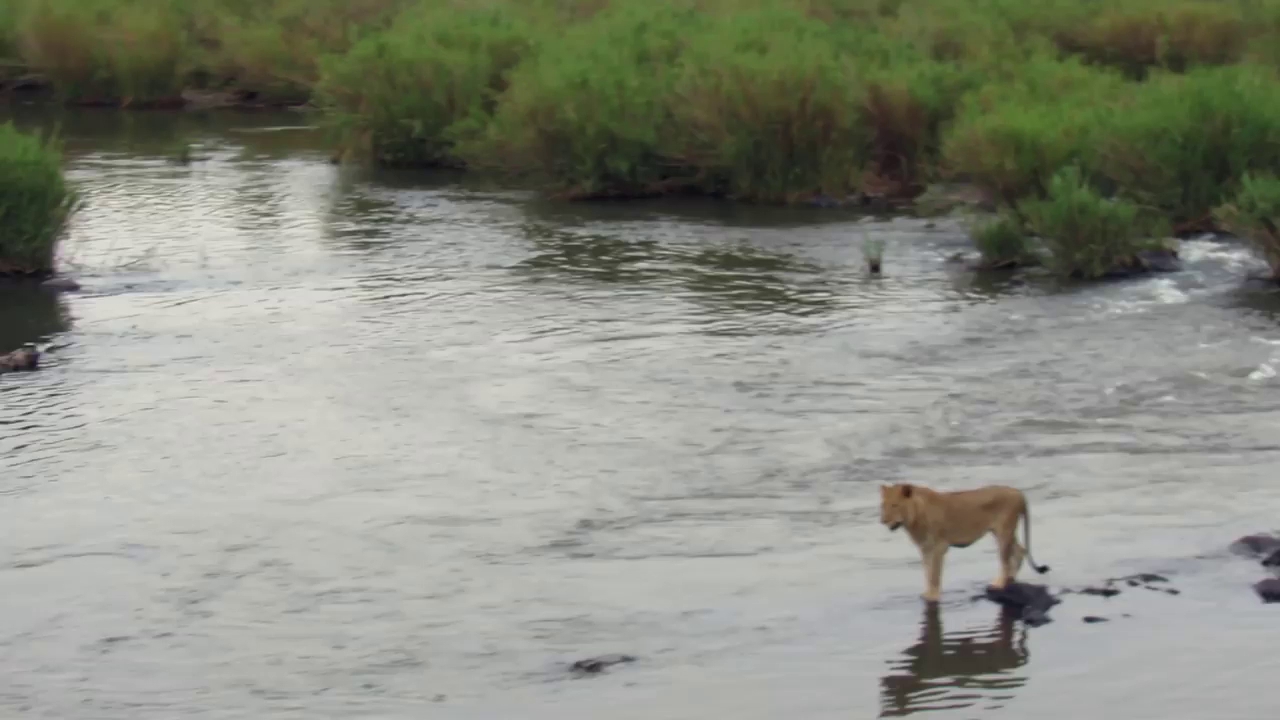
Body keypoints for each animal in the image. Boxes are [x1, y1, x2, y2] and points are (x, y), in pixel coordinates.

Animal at [880, 481, 1049, 599]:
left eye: (895, 505)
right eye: (883, 505)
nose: (883, 520)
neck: (913, 519)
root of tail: (1018, 492)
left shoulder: (939, 547)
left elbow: (934, 574)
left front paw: (933, 597)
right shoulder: (925, 548)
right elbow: (928, 572)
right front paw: (927, 593)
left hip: (1004, 532)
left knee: (1006, 561)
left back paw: (1000, 584)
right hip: (1002, 532)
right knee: (1020, 550)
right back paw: (1011, 579)